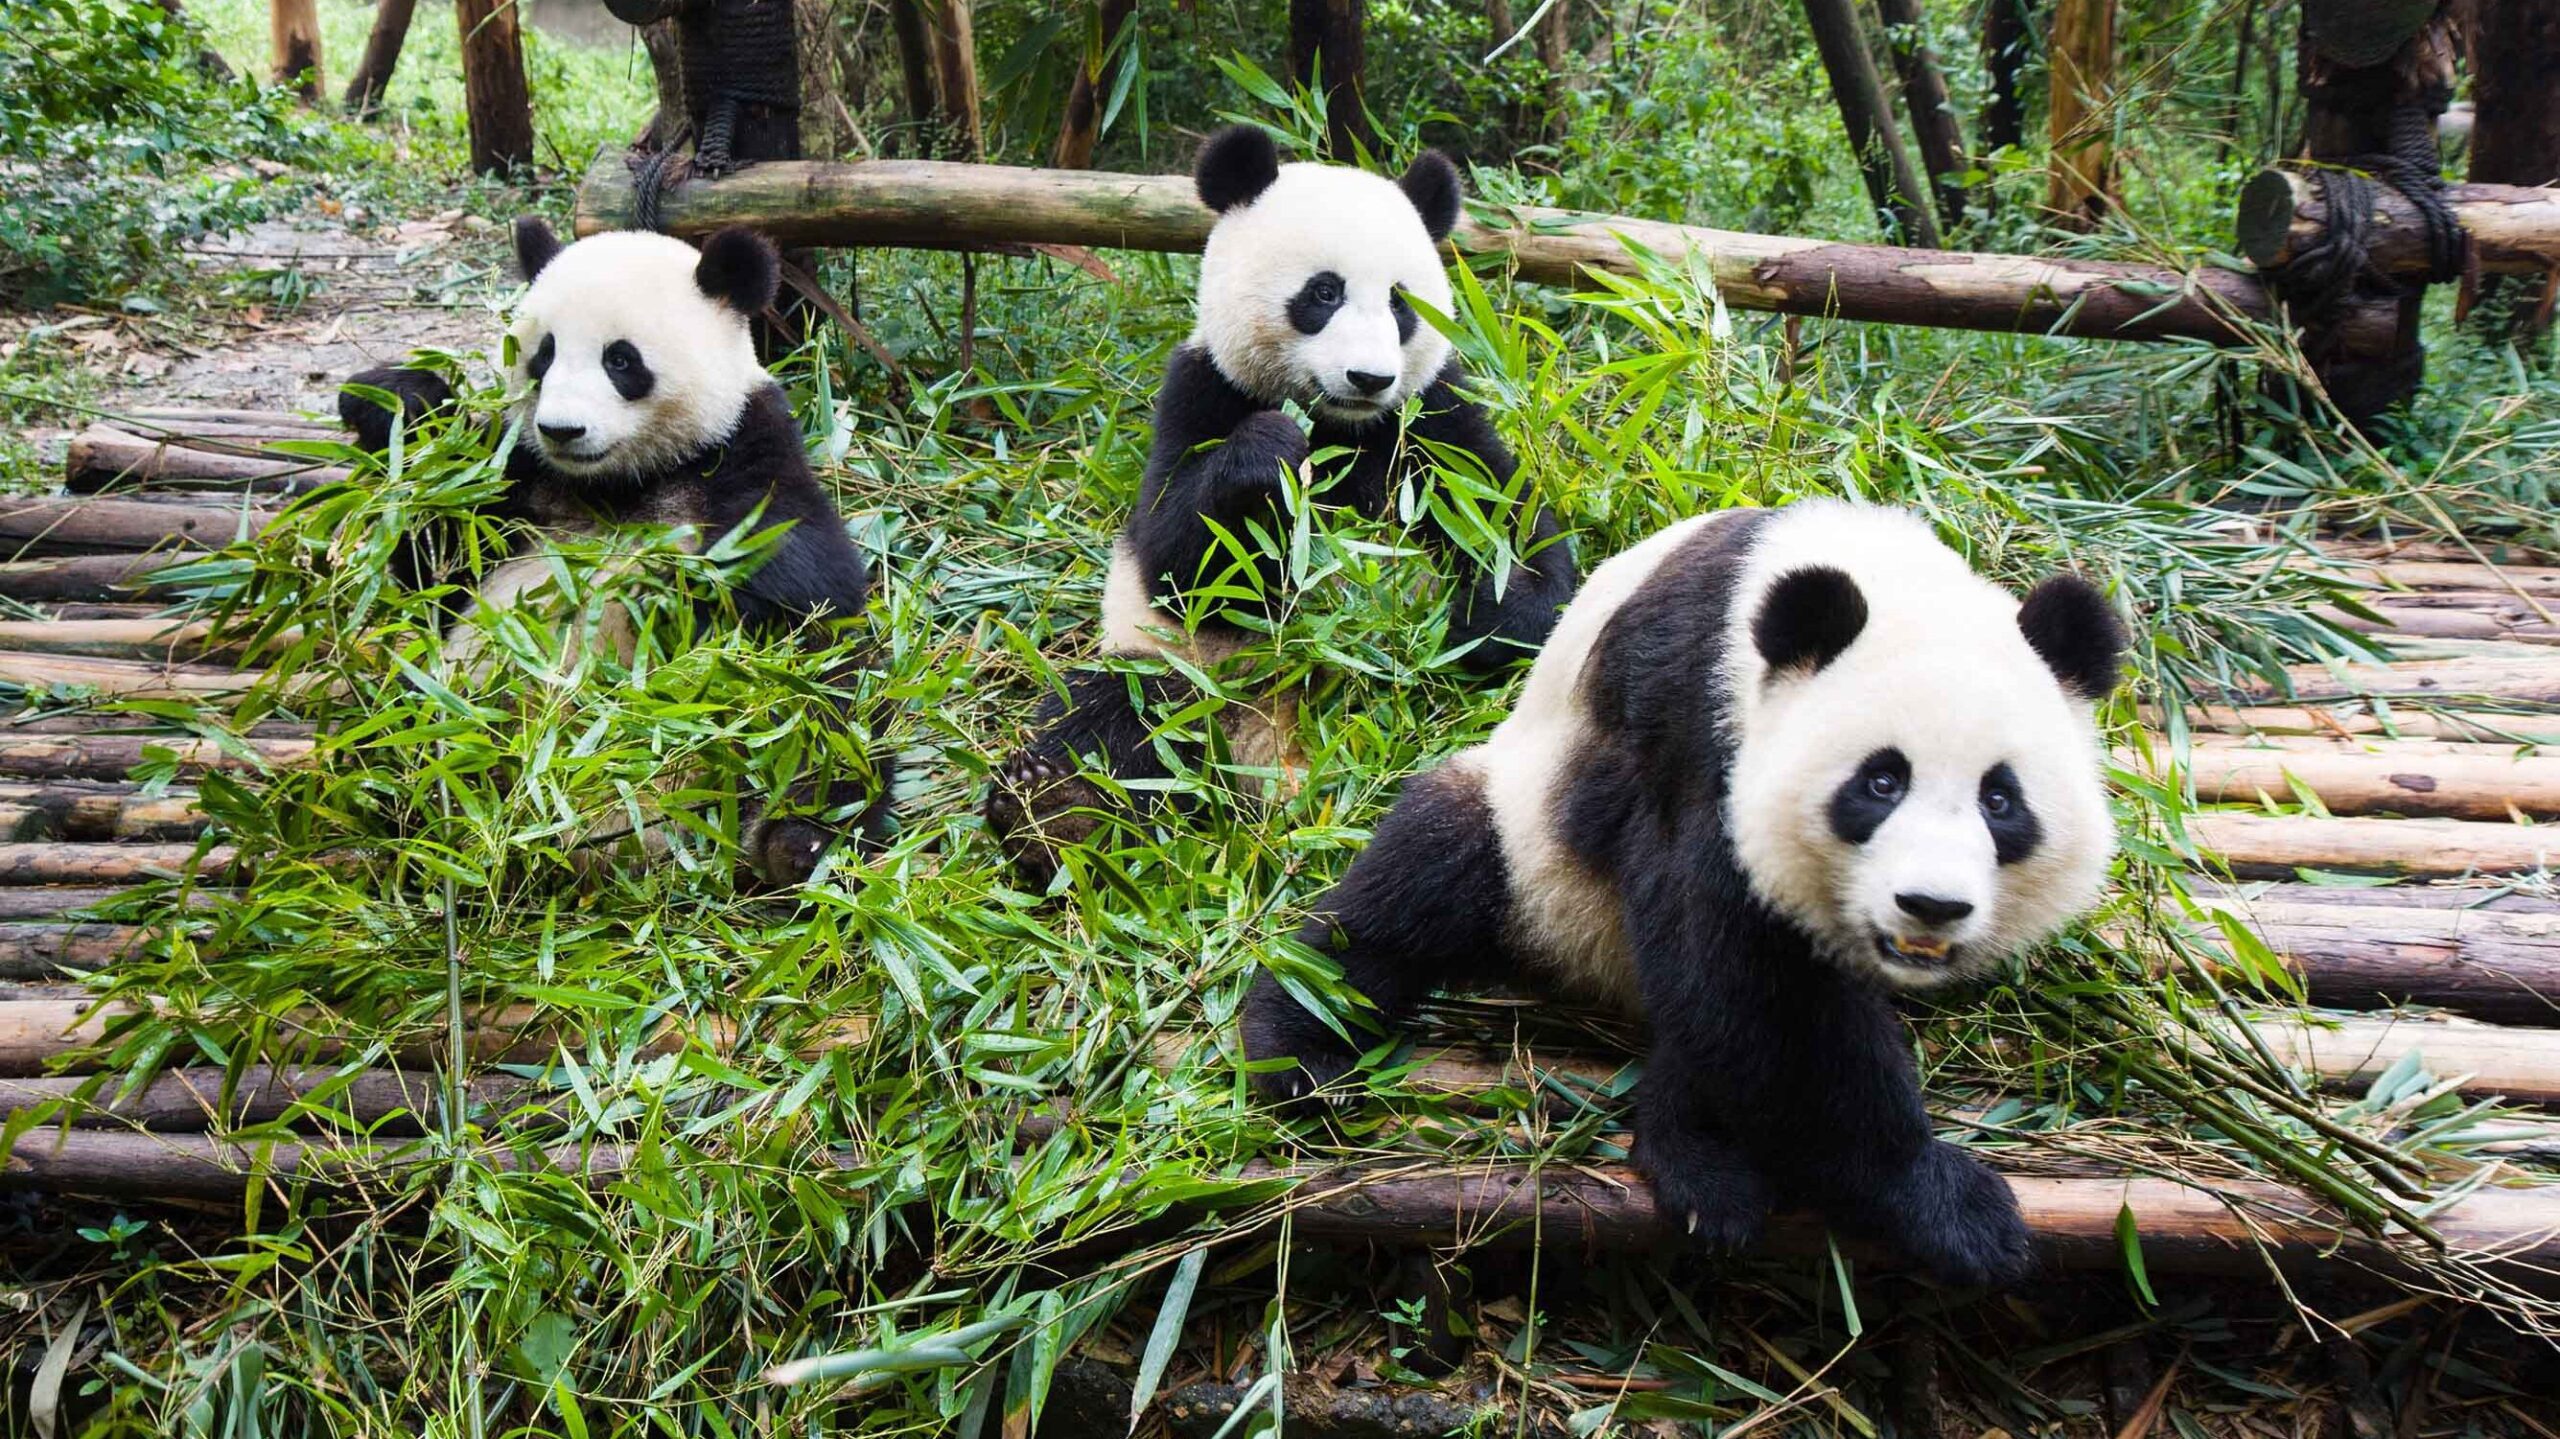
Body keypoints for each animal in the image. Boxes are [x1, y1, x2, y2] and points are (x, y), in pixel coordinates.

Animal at [338, 217, 886, 884]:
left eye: (620, 360)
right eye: (543, 355)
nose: (562, 430)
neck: (616, 484)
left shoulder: (746, 458)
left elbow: (803, 595)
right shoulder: (518, 482)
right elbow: (439, 558)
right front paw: (392, 398)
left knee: (827, 739)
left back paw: (796, 847)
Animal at [984, 124, 1581, 884]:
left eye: (1400, 303)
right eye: (1323, 292)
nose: (1369, 377)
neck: (1342, 425)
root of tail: (1272, 761)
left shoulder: (1433, 416)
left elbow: (1511, 523)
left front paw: (1483, 615)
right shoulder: (1200, 388)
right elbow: (1173, 557)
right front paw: (1271, 452)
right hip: (1180, 677)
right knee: (1112, 714)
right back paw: (1057, 815)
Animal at [1241, 500, 2127, 1287]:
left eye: (2000, 800)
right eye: (1880, 782)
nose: (1930, 905)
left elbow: (1735, 998)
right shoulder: (1699, 725)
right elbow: (1752, 978)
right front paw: (1947, 1200)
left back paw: (1692, 1151)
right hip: (1531, 848)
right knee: (1417, 887)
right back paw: (1303, 1048)